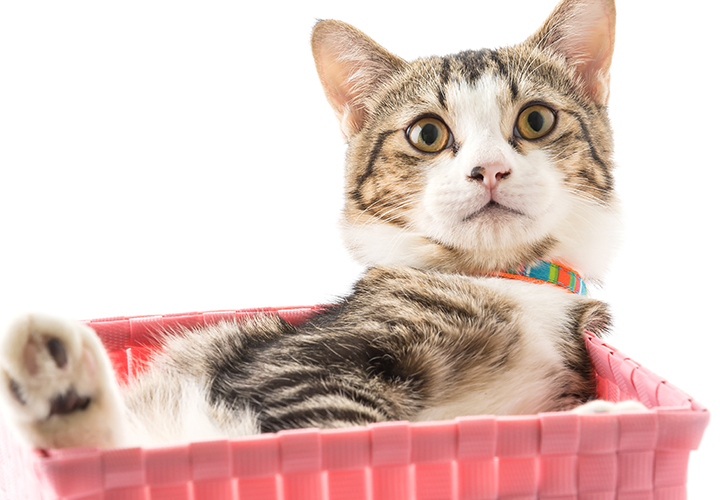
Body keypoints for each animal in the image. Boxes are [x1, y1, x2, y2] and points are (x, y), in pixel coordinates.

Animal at [0, 0, 635, 450]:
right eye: (428, 133)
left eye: (536, 120)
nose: (490, 170)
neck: (504, 279)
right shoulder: (293, 369)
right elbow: (351, 433)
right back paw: (60, 390)